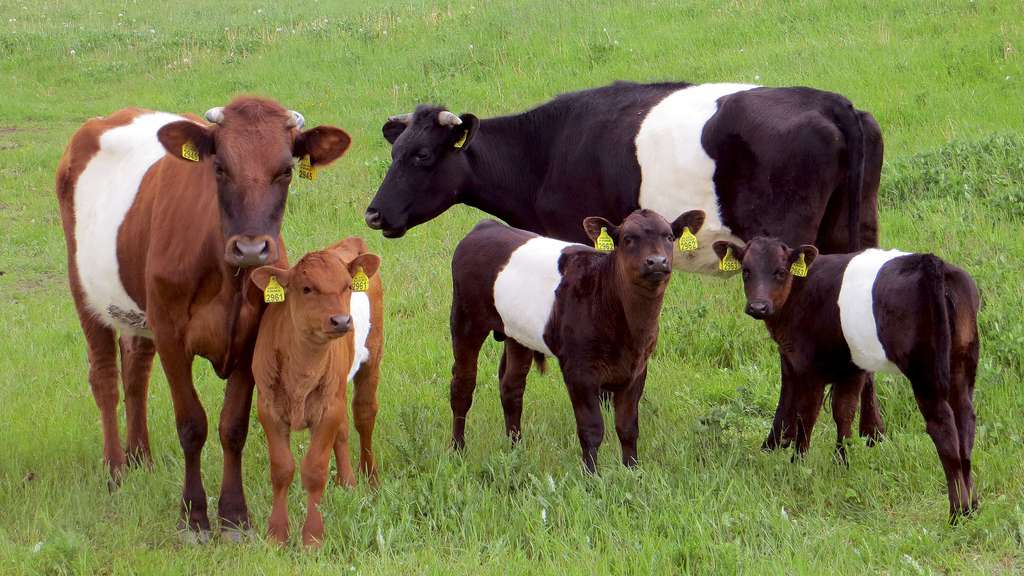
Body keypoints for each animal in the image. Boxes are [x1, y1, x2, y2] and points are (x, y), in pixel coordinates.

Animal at [55, 96, 352, 537]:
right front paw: (194, 516)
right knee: (106, 378)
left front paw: (234, 515)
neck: (228, 278)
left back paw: (141, 457)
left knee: (136, 371)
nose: (251, 248)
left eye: (285, 170)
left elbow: (233, 427)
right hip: (85, 291)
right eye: (219, 167)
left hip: (140, 312)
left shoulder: (250, 341)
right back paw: (116, 469)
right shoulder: (171, 336)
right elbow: (192, 424)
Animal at [250, 235, 385, 545]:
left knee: (364, 417)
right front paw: (277, 534)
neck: (301, 373)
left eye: (347, 286)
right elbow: (282, 468)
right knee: (344, 430)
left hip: (372, 356)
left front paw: (312, 537)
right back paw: (347, 482)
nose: (342, 321)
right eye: (307, 288)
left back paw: (370, 480)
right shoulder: (268, 407)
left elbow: (314, 469)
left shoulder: (326, 409)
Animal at [452, 208, 708, 469]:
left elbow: (627, 428)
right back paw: (458, 450)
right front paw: (592, 474)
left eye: (669, 237)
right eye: (628, 239)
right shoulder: (579, 370)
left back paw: (516, 450)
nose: (657, 261)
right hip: (466, 319)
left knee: (511, 388)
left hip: (518, 334)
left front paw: (632, 470)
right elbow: (591, 429)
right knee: (463, 385)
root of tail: (486, 226)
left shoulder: (637, 370)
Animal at [712, 235, 983, 518]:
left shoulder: (807, 366)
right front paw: (841, 463)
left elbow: (806, 416)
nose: (758, 306)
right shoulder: (852, 366)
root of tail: (932, 263)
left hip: (925, 371)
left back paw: (957, 512)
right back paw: (972, 506)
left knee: (943, 427)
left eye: (780, 272)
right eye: (746, 271)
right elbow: (844, 411)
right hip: (961, 362)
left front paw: (798, 463)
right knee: (965, 421)